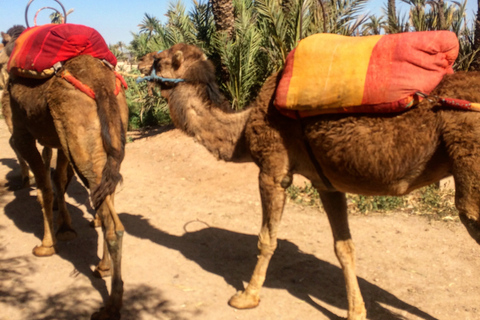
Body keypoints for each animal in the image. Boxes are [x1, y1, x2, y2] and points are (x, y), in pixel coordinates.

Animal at [1, 27, 128, 320]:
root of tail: (101, 84)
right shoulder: (58, 140)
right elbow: (58, 179)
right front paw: (66, 227)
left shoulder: (22, 132)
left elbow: (46, 186)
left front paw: (46, 244)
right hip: (105, 138)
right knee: (106, 195)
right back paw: (102, 267)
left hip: (78, 139)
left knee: (112, 223)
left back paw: (111, 306)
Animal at [139, 43, 480, 320]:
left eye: (161, 58)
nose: (140, 61)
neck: (242, 132)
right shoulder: (326, 182)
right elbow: (344, 247)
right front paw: (356, 311)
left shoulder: (273, 169)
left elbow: (266, 239)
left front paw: (247, 296)